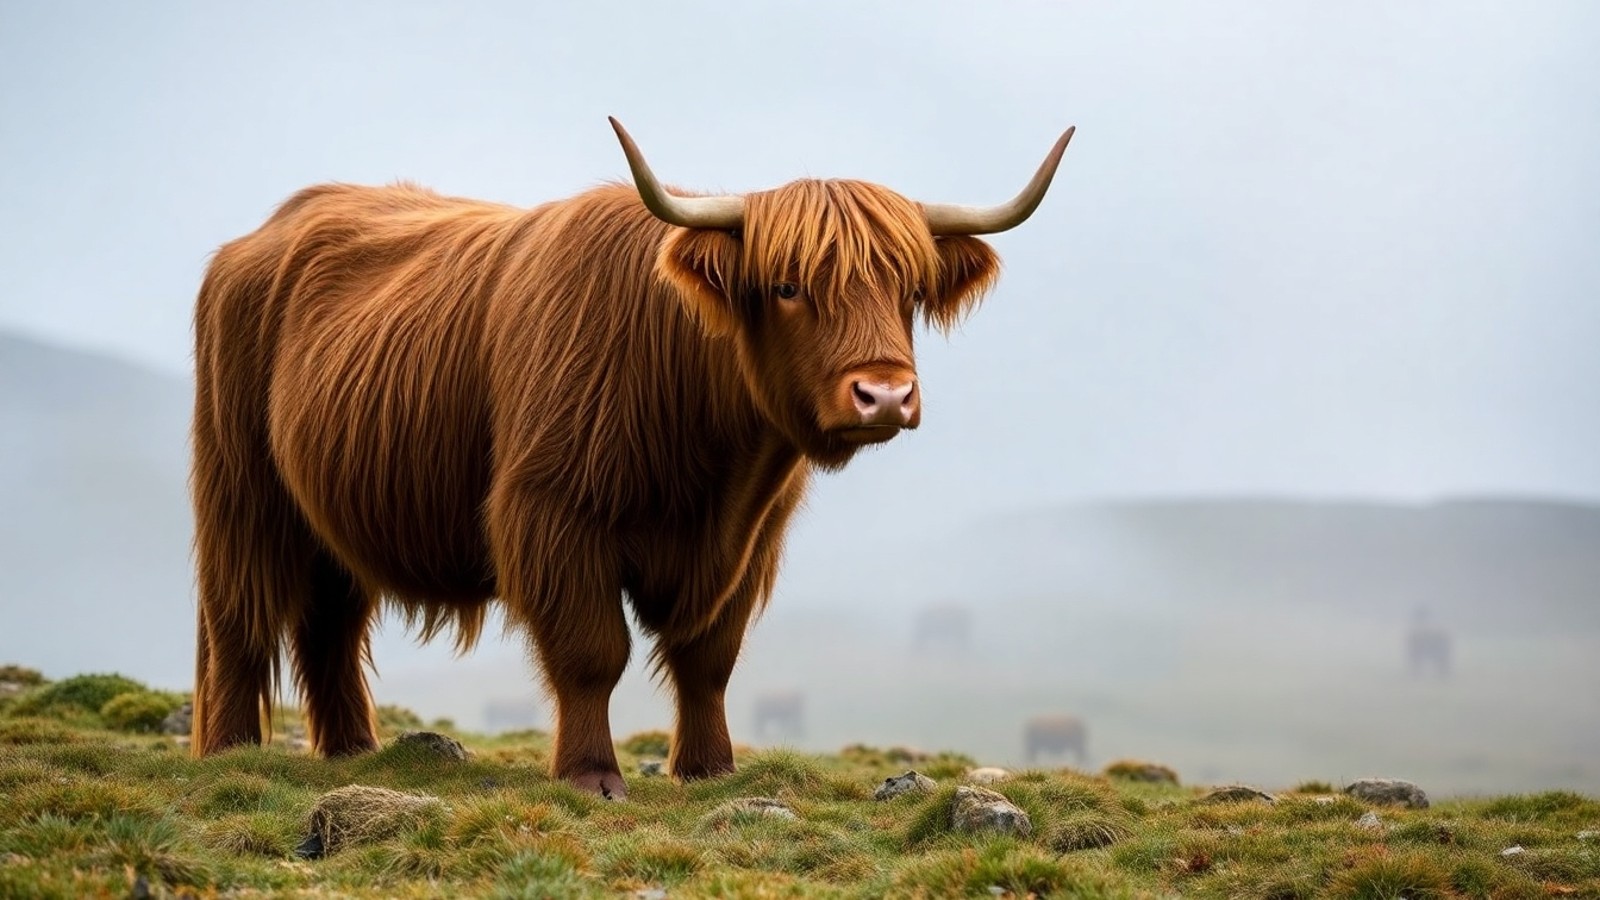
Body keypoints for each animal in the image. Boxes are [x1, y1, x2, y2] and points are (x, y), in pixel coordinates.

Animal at [189, 117, 1073, 799]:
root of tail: (264, 234)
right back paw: (231, 753)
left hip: (330, 514)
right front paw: (592, 775)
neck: (714, 466)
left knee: (329, 623)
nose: (884, 395)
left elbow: (710, 658)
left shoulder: (751, 543)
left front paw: (709, 770)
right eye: (787, 286)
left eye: (910, 289)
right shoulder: (554, 515)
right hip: (241, 490)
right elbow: (593, 651)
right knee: (239, 615)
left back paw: (351, 752)